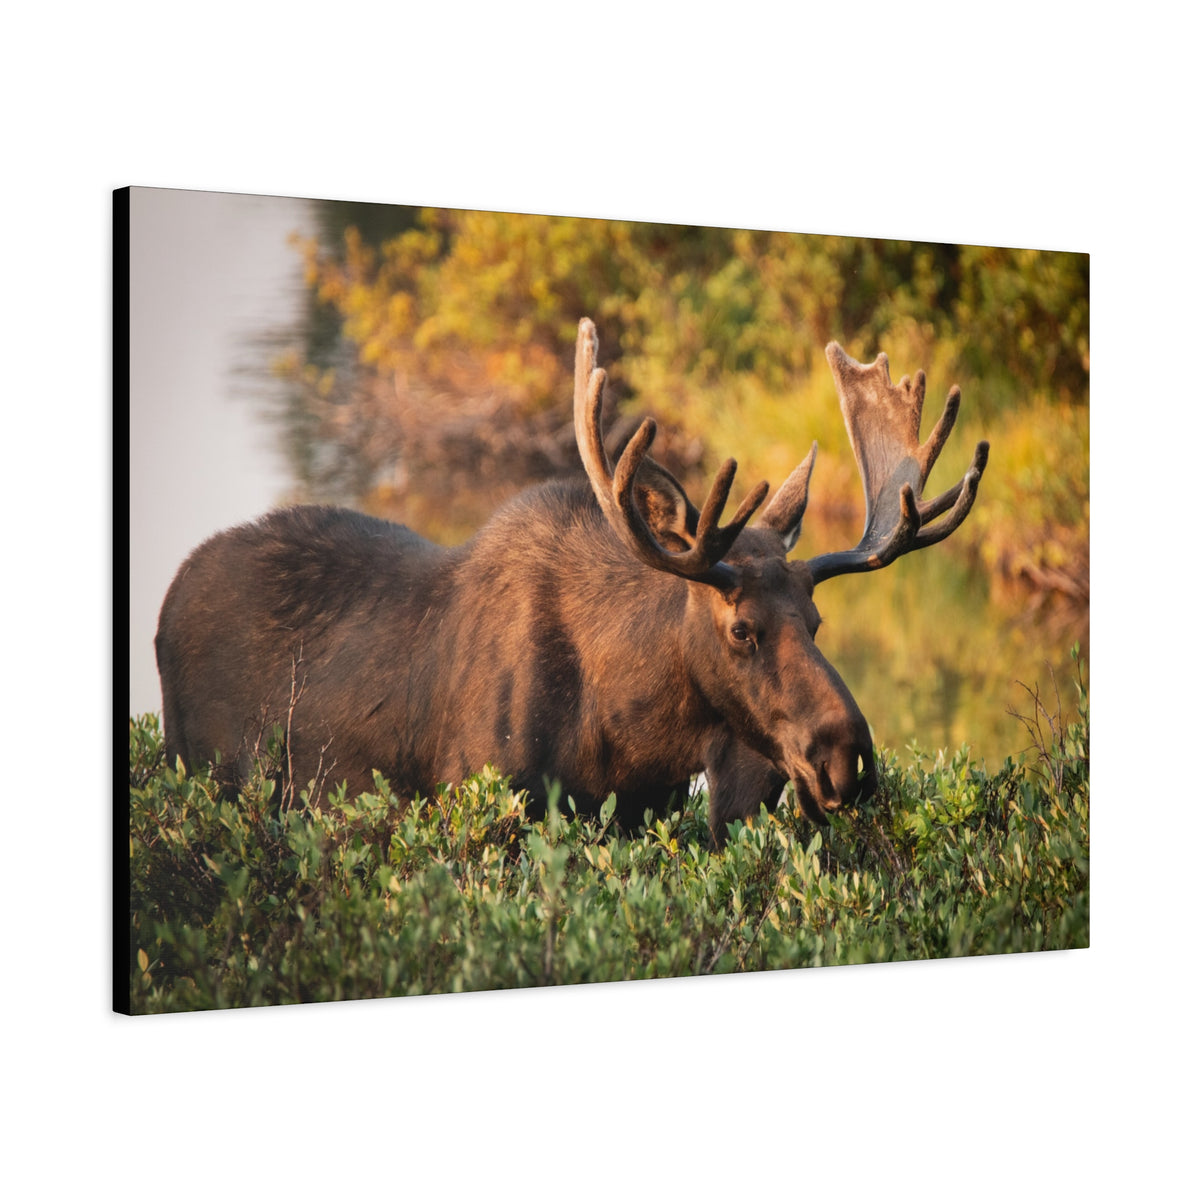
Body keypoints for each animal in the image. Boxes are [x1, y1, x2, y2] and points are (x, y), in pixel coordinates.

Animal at [155, 318, 988, 845]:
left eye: (815, 624)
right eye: (742, 629)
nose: (847, 760)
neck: (631, 733)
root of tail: (168, 603)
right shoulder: (484, 803)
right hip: (198, 767)